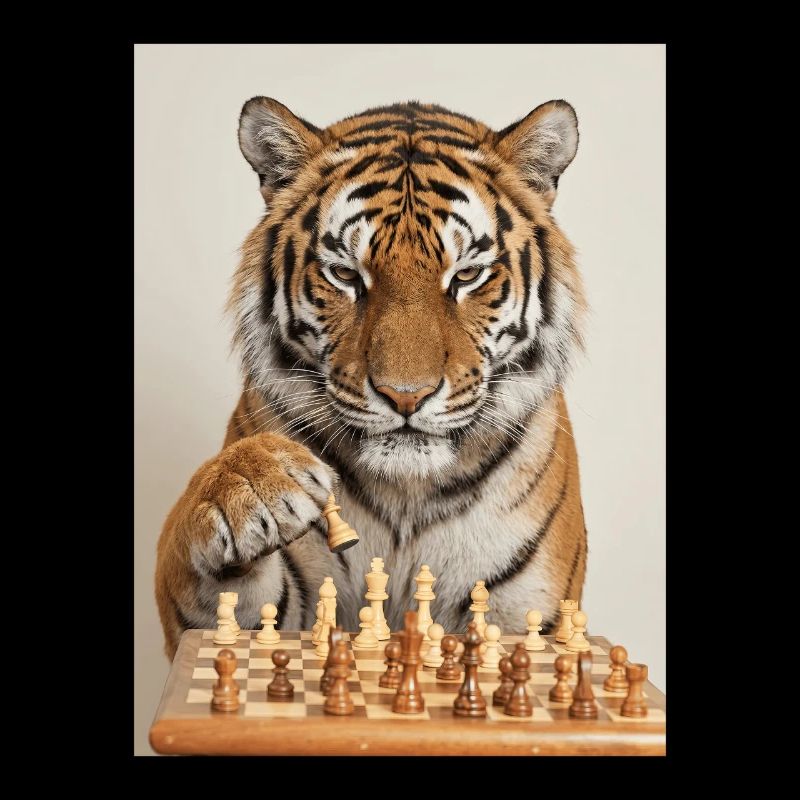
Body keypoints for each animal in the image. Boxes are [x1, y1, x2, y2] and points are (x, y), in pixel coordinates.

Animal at [155, 97, 588, 660]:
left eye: (466, 276)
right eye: (345, 275)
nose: (406, 397)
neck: (407, 498)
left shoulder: (530, 616)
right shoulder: (247, 620)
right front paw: (249, 483)